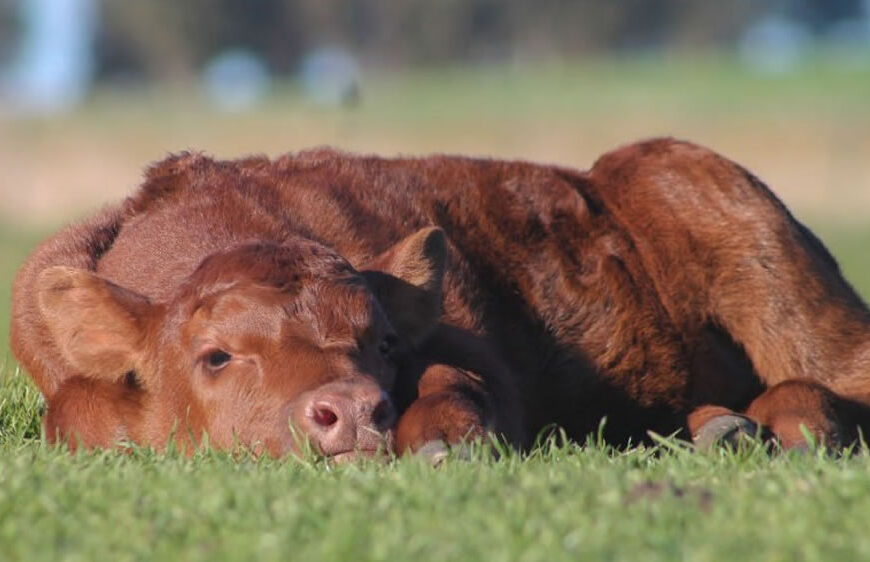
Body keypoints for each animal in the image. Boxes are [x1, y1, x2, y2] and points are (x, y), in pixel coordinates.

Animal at [8, 138, 870, 458]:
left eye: (385, 342)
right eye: (215, 356)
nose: (350, 411)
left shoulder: (466, 344)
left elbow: (461, 381)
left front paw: (444, 441)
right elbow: (76, 413)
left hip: (764, 259)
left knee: (840, 379)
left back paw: (792, 420)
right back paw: (722, 427)